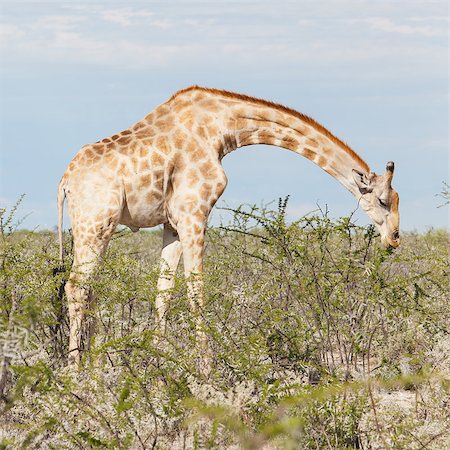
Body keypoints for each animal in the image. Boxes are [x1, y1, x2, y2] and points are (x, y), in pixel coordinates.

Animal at [57, 86, 400, 368]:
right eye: (383, 200)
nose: (394, 239)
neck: (223, 129)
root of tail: (65, 181)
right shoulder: (194, 212)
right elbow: (196, 290)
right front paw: (206, 370)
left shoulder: (173, 222)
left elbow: (163, 291)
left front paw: (156, 363)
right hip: (96, 223)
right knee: (76, 287)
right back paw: (74, 371)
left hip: (94, 228)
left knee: (90, 288)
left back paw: (95, 367)